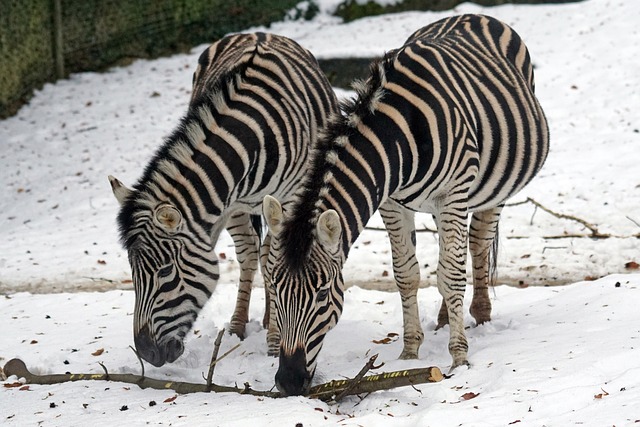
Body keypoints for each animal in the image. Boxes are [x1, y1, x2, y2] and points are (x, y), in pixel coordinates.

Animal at [109, 32, 340, 368]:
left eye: (165, 272)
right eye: (132, 271)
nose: (147, 354)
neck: (248, 138)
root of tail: (259, 33)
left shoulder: (291, 197)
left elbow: (275, 261)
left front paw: (275, 342)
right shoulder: (228, 206)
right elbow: (247, 256)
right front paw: (239, 326)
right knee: (255, 252)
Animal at [262, 14, 548, 398]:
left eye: (322, 293)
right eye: (275, 288)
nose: (289, 382)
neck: (397, 133)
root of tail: (470, 15)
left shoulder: (452, 193)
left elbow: (451, 275)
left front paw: (459, 357)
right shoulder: (392, 202)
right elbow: (407, 274)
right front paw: (410, 351)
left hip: (492, 188)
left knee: (477, 243)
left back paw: (478, 312)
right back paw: (444, 317)